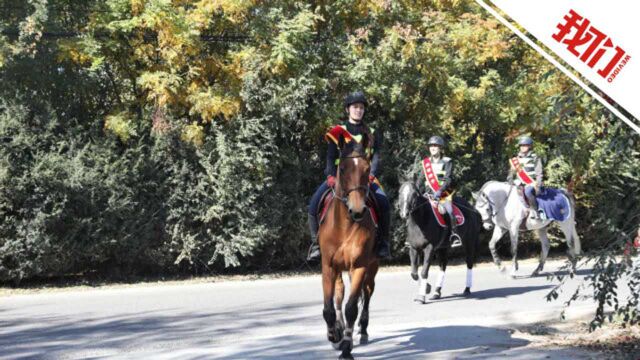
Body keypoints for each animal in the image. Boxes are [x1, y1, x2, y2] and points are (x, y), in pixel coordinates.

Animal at [318, 136, 378, 358]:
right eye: (342, 168)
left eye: (367, 169)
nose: (357, 210)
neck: (344, 225)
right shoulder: (328, 266)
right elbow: (329, 307)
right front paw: (334, 334)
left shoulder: (359, 266)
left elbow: (352, 307)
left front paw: (346, 347)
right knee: (339, 294)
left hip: (372, 267)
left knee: (367, 293)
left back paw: (362, 331)